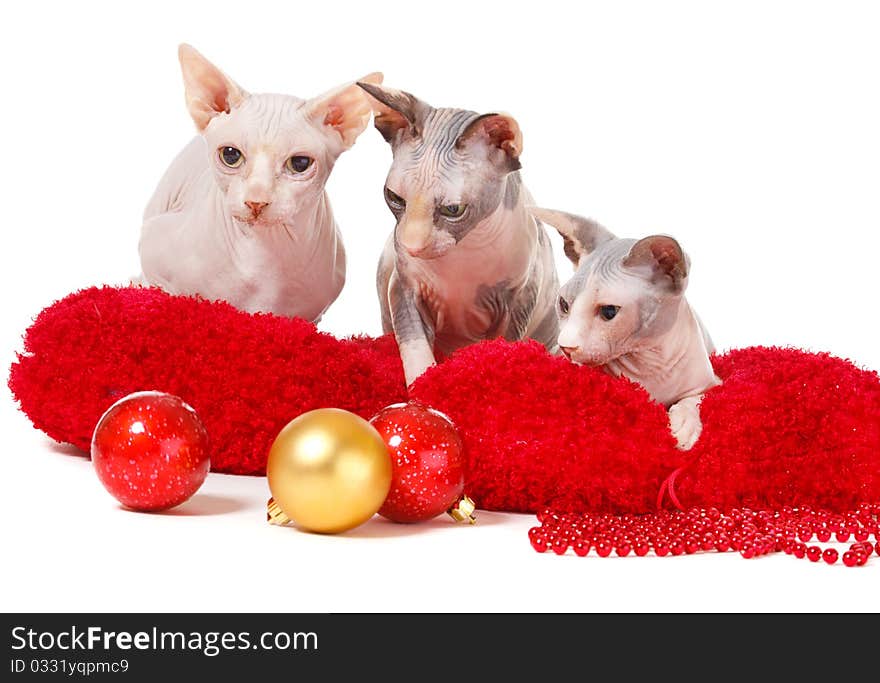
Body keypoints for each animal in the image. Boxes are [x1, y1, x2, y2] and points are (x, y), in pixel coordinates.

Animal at [139, 45, 380, 324]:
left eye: (300, 163)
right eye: (230, 155)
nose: (256, 202)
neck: (265, 253)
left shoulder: (311, 315)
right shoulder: (151, 245)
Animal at [356, 81, 556, 384]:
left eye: (453, 209)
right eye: (395, 198)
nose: (411, 246)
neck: (463, 255)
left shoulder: (518, 300)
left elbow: (497, 350)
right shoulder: (403, 287)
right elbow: (416, 352)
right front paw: (422, 388)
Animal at [528, 208, 720, 454]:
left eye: (609, 311)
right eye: (563, 304)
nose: (566, 347)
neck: (651, 361)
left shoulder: (714, 383)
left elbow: (696, 398)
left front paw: (684, 425)